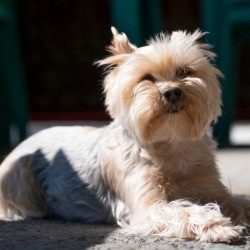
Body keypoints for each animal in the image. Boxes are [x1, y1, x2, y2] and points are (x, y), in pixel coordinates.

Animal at [0, 26, 250, 242]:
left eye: (184, 72)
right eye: (146, 78)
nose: (172, 92)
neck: (171, 142)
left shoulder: (212, 188)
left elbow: (236, 202)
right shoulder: (149, 205)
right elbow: (183, 211)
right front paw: (217, 226)